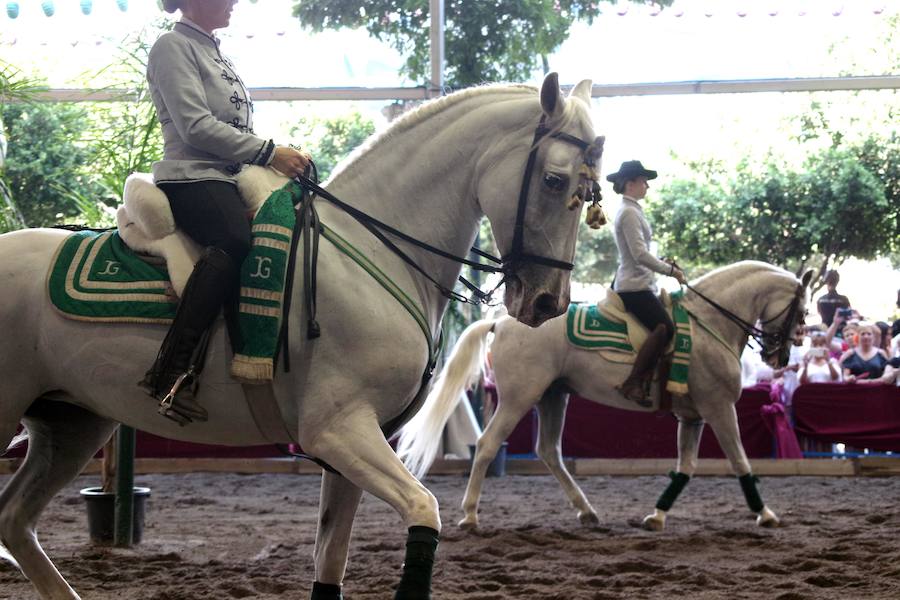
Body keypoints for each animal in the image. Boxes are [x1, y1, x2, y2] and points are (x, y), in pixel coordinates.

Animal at [0, 72, 604, 596]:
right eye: (554, 180)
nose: (548, 303)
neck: (374, 249)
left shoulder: (356, 444)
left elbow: (330, 559)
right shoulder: (337, 432)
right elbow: (422, 510)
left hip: (73, 425)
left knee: (14, 520)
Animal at [398, 262, 812, 528]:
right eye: (803, 311)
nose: (779, 358)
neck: (709, 325)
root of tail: (501, 321)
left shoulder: (693, 416)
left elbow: (686, 467)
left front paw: (657, 516)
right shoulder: (720, 407)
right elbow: (740, 461)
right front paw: (765, 514)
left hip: (553, 396)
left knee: (549, 451)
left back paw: (587, 512)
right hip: (519, 398)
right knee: (487, 445)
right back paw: (469, 515)